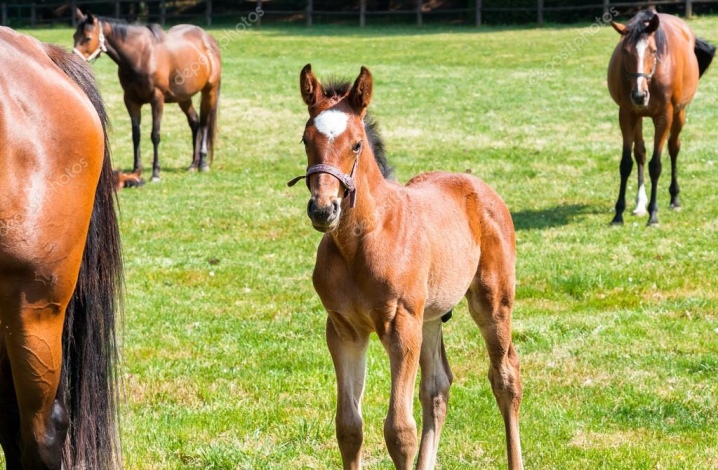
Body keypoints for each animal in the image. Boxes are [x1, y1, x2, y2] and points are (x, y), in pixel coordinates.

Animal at [72, 9, 222, 182]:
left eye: (88, 38)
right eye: (74, 36)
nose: (74, 61)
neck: (142, 56)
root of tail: (208, 39)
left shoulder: (157, 100)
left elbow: (155, 135)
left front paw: (156, 172)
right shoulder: (131, 100)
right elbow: (136, 135)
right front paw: (136, 169)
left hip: (209, 92)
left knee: (204, 124)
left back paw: (202, 163)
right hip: (184, 97)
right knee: (195, 122)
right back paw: (193, 164)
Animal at [290, 63, 524, 470]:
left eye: (356, 144)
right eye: (306, 140)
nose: (323, 209)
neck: (360, 243)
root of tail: (477, 185)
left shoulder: (401, 325)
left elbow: (399, 431)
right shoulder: (344, 329)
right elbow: (349, 427)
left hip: (492, 302)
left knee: (505, 376)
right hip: (429, 315)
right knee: (437, 387)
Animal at [612, 8, 716, 226]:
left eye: (653, 50)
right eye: (625, 51)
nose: (639, 95)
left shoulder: (664, 117)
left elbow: (656, 166)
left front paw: (653, 216)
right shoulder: (626, 114)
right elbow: (626, 163)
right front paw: (618, 214)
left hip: (678, 114)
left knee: (674, 148)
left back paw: (674, 198)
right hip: (638, 117)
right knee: (640, 152)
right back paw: (639, 204)